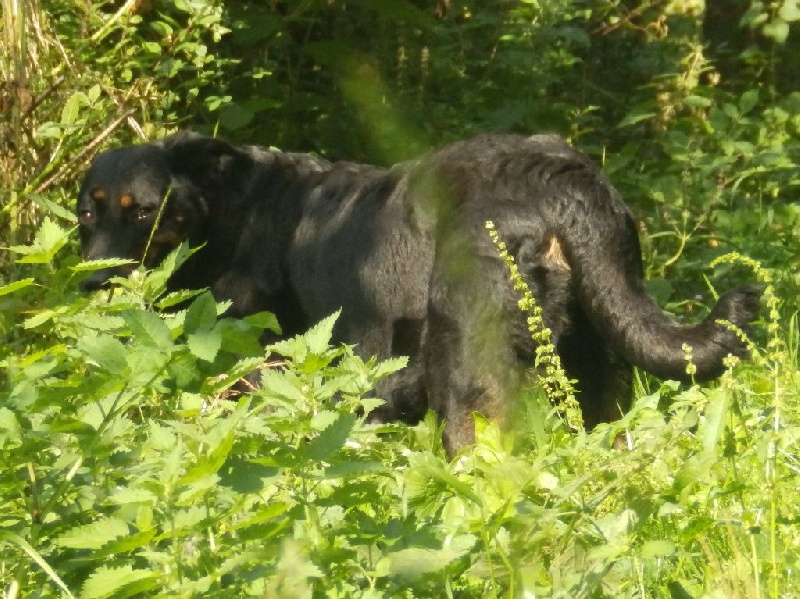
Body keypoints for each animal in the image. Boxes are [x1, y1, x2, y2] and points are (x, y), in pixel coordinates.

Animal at [73, 131, 756, 450]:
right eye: (86, 213)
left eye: (144, 213)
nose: (94, 279)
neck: (233, 215)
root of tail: (561, 179)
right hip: (599, 360)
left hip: (467, 371)